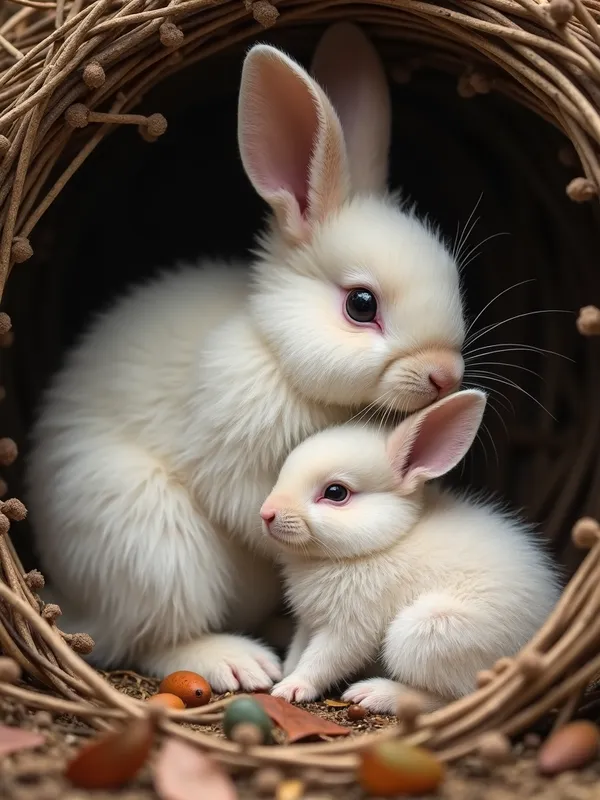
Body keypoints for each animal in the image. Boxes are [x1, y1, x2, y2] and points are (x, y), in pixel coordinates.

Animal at [25, 22, 467, 694]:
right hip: (155, 549)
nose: (448, 375)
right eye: (361, 304)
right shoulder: (230, 450)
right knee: (146, 639)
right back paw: (236, 661)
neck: (275, 351)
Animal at [261, 389, 561, 711]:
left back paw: (373, 693)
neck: (383, 544)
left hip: (421, 633)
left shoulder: (351, 629)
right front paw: (284, 672)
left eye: (336, 493)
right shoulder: (309, 622)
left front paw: (290, 688)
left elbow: (323, 660)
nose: (266, 513)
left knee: (452, 697)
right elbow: (298, 649)